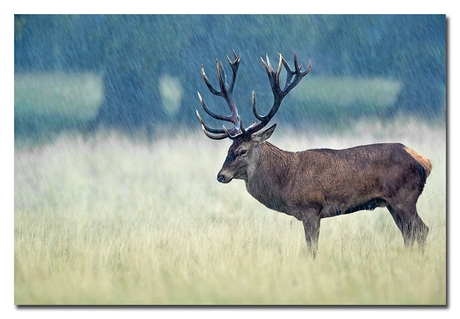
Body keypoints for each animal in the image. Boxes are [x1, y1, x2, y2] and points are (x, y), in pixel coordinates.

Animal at [196, 50, 434, 258]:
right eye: (228, 149)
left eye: (243, 150)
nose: (221, 175)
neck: (285, 181)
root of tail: (425, 162)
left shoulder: (311, 208)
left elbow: (312, 249)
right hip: (392, 203)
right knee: (409, 235)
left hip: (404, 198)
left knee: (422, 231)